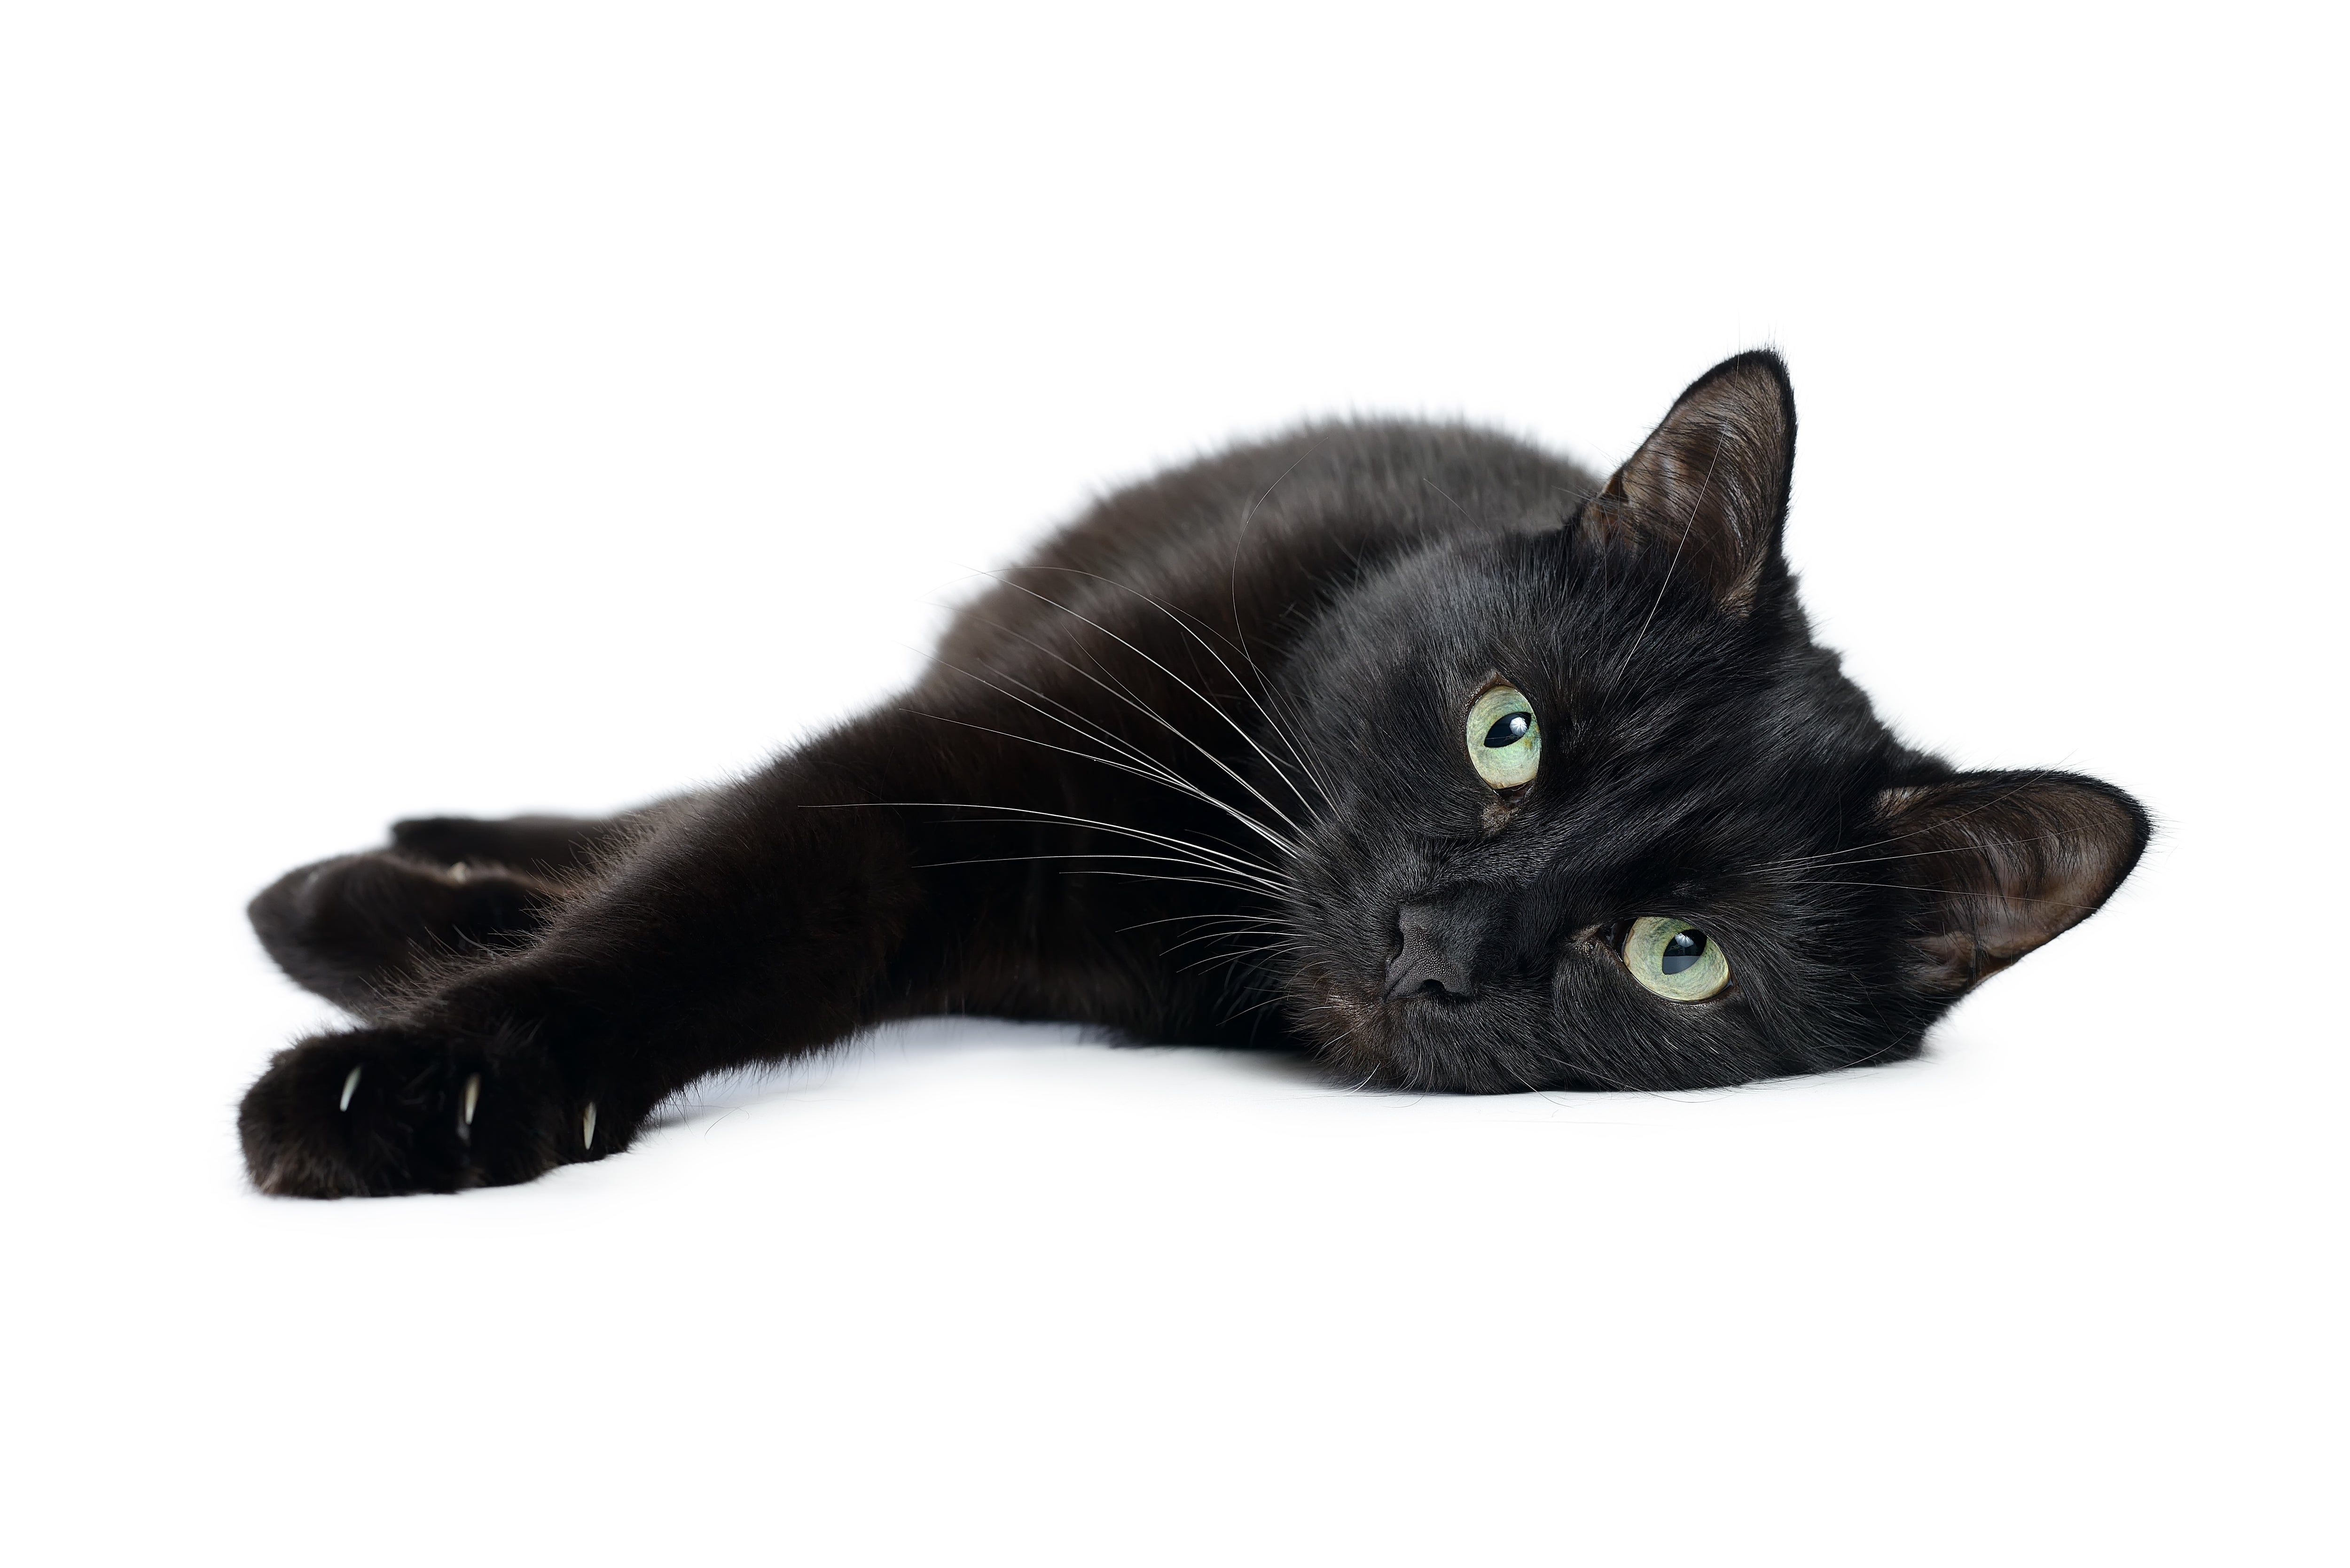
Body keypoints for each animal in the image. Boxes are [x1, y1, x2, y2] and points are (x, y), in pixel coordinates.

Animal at [238, 350, 2153, 1194]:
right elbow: (712, 895)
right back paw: (352, 890)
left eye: (1679, 954)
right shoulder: (947, 763)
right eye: (1505, 729)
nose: (1437, 946)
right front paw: (429, 1079)